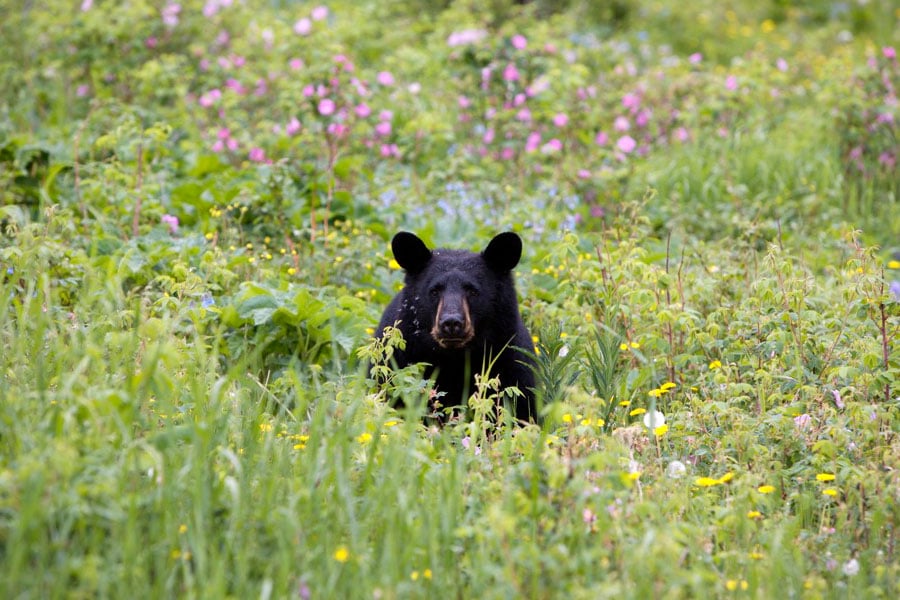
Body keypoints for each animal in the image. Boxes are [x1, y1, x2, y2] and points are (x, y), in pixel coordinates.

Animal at [374, 230, 536, 422]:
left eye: (472, 291)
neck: (456, 358)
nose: (451, 322)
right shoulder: (400, 362)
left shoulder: (512, 364)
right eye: (434, 291)